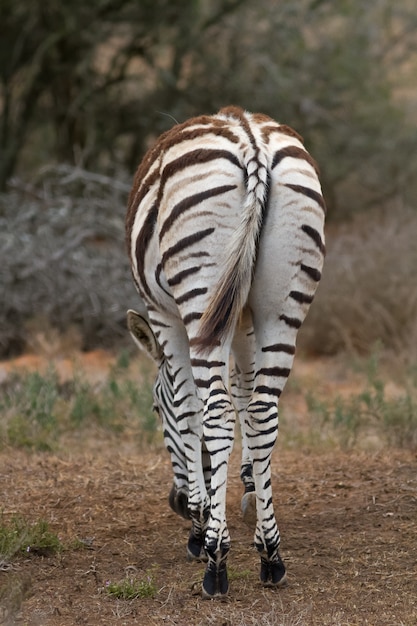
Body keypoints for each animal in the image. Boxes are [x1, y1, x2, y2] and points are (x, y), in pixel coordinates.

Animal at [124, 105, 324, 596]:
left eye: (154, 409)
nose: (176, 503)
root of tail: (251, 139)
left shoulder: (166, 315)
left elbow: (192, 410)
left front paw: (201, 525)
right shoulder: (246, 319)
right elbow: (245, 396)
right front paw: (250, 490)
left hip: (198, 294)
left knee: (215, 413)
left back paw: (216, 561)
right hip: (281, 304)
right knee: (265, 413)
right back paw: (271, 555)